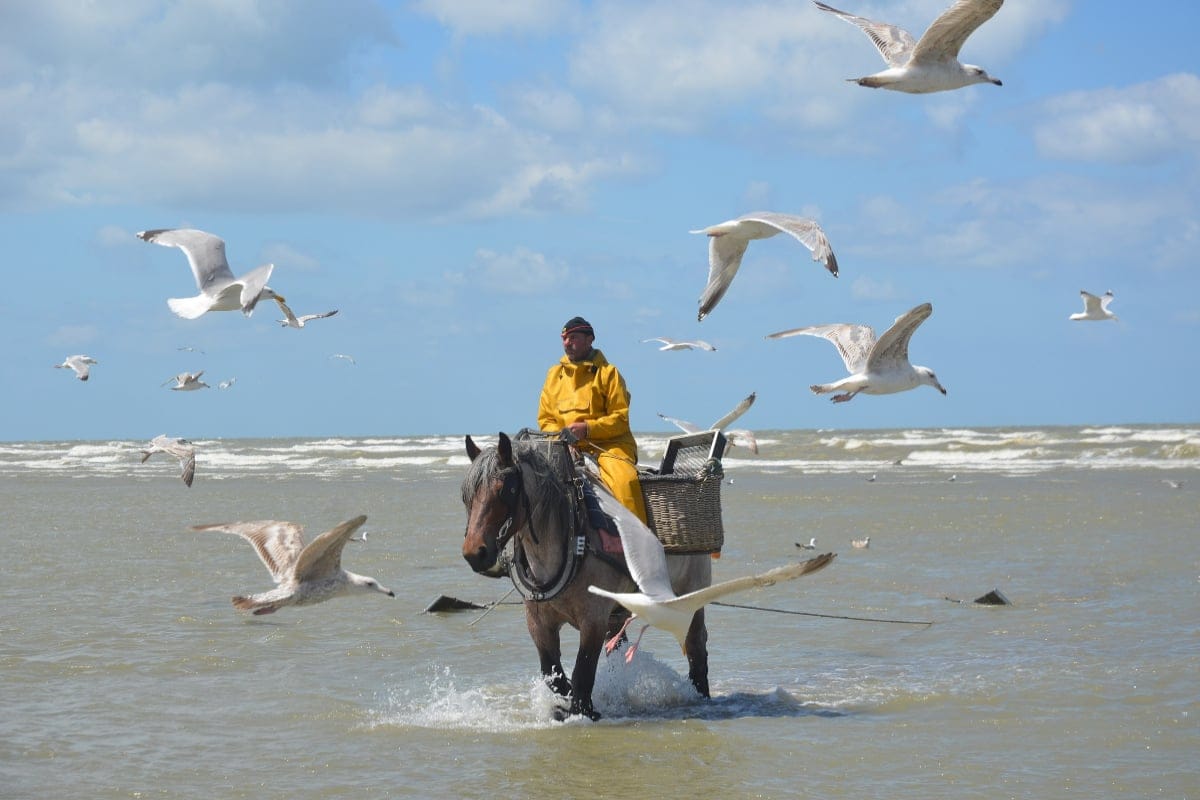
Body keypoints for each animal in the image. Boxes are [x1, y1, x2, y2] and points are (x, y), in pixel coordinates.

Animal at [460, 434, 710, 724]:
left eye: (506, 489)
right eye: (466, 495)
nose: (475, 553)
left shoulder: (593, 620)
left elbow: (582, 674)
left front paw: (583, 710)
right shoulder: (538, 623)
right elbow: (554, 675)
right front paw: (564, 706)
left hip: (691, 597)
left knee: (696, 648)